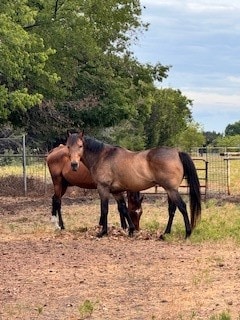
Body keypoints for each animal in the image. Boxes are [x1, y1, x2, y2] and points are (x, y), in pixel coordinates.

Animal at [66, 131, 202, 239]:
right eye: (68, 146)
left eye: (80, 146)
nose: (74, 165)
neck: (102, 156)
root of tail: (177, 152)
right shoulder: (116, 192)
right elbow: (124, 209)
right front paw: (131, 230)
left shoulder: (103, 188)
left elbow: (104, 210)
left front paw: (103, 232)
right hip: (170, 190)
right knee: (172, 210)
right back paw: (165, 233)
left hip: (171, 190)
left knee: (182, 207)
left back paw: (187, 233)